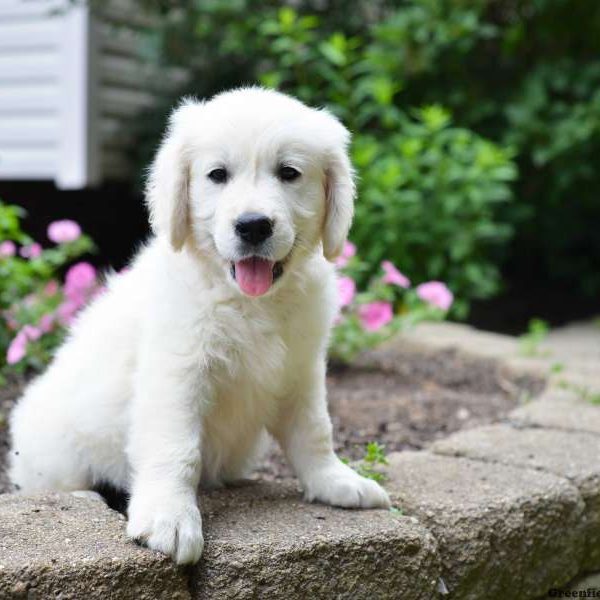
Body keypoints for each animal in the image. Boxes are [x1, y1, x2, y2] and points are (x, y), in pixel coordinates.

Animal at [12, 88, 394, 564]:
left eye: (289, 173)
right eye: (217, 175)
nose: (253, 226)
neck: (249, 301)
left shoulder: (301, 370)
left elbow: (314, 430)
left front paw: (335, 482)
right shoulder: (176, 372)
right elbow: (176, 448)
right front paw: (169, 519)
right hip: (56, 454)